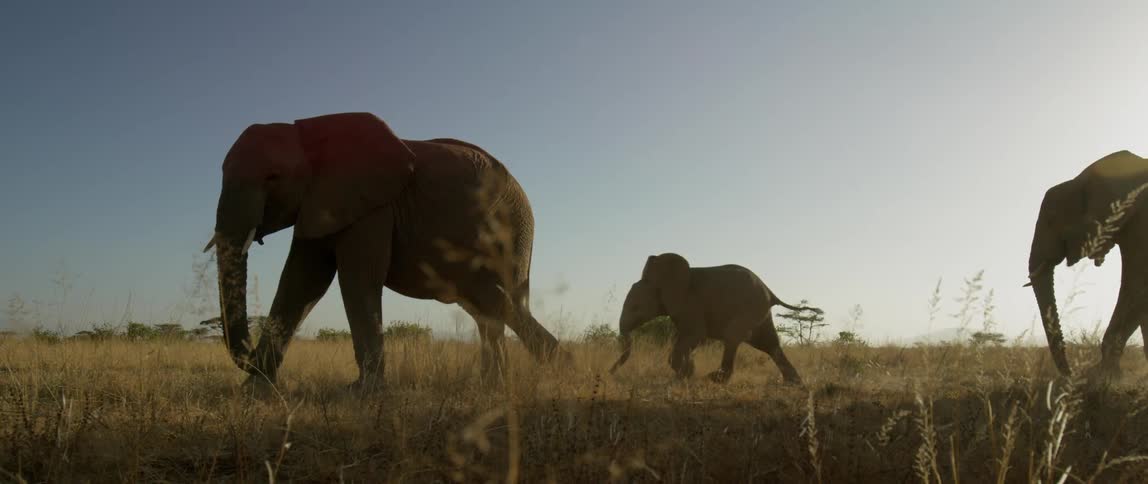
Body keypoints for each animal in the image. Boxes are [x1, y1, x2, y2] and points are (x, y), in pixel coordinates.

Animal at [203, 112, 565, 389]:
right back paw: (494, 385)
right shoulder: (321, 201)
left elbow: (357, 279)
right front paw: (256, 390)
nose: (249, 357)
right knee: (486, 307)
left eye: (273, 177)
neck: (309, 135)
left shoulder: (373, 207)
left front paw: (363, 391)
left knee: (496, 299)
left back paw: (555, 364)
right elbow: (300, 283)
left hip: (513, 232)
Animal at [608, 253, 816, 384]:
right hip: (759, 313)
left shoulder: (690, 303)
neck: (664, 280)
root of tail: (770, 292)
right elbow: (686, 338)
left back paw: (714, 379)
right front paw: (686, 372)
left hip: (750, 308)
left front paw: (687, 373)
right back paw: (793, 383)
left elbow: (696, 335)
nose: (609, 373)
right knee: (769, 344)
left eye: (636, 308)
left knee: (734, 337)